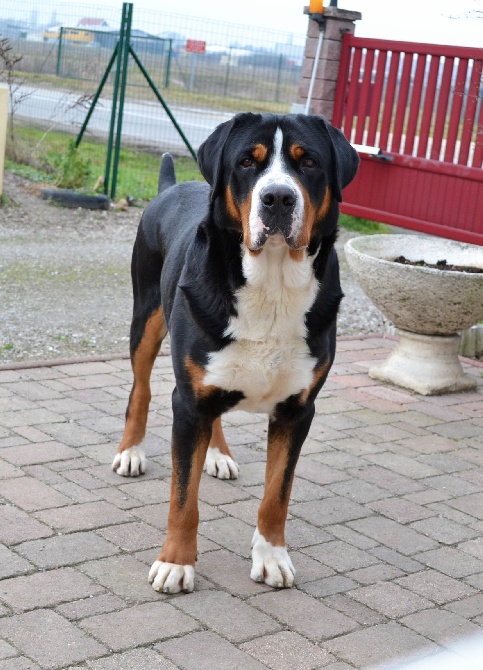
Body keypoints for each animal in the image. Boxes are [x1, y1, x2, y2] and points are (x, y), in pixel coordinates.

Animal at [113, 114, 360, 592]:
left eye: (309, 162)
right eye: (248, 161)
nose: (278, 197)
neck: (272, 285)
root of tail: (172, 185)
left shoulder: (297, 410)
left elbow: (276, 495)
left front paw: (272, 557)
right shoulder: (188, 402)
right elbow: (183, 497)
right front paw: (176, 562)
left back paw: (218, 454)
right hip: (146, 319)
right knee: (141, 389)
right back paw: (131, 452)